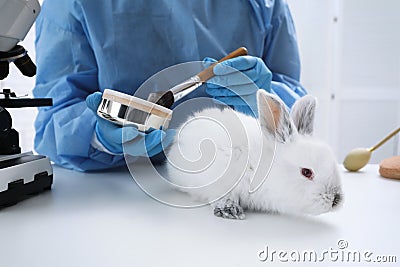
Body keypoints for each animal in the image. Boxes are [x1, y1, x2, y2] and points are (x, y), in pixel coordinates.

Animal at [164, 91, 342, 221]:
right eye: (306, 172)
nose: (336, 200)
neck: (260, 167)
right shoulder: (221, 181)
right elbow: (223, 196)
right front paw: (230, 210)